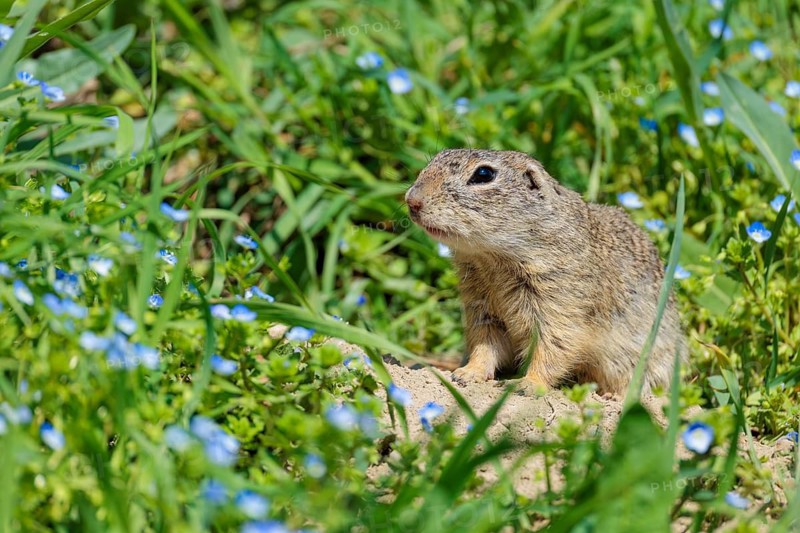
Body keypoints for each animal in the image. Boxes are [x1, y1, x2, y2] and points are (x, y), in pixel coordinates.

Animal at [405, 149, 686, 396]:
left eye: (483, 174)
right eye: (438, 156)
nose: (411, 200)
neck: (492, 260)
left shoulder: (561, 301)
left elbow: (553, 347)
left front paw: (526, 385)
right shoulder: (481, 307)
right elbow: (485, 344)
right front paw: (466, 374)